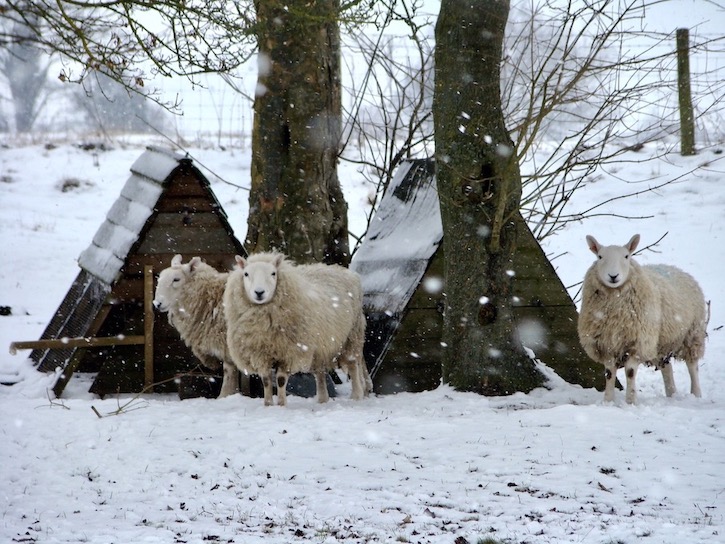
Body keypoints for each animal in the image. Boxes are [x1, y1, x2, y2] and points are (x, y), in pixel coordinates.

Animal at [223, 251, 372, 406]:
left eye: (273, 273)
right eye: (246, 274)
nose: (259, 292)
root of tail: (344, 270)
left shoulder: (289, 351)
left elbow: (281, 380)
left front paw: (281, 404)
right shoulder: (260, 354)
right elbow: (266, 380)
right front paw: (268, 404)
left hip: (352, 334)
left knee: (353, 365)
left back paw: (356, 395)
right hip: (320, 345)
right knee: (320, 371)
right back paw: (322, 399)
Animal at [577, 234, 707, 404]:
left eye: (626, 256)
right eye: (600, 257)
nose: (613, 276)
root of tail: (677, 269)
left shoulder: (637, 342)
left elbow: (630, 372)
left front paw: (631, 402)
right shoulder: (606, 344)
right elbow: (609, 374)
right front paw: (608, 402)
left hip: (692, 334)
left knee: (692, 366)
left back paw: (696, 394)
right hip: (660, 341)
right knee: (666, 367)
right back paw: (671, 394)